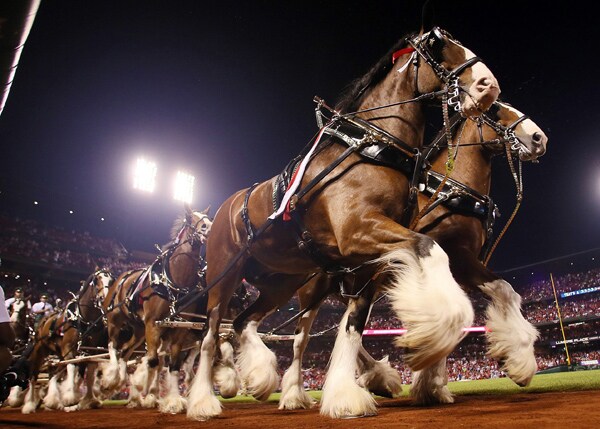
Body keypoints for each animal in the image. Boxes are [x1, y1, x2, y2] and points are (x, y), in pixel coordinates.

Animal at [186, 25, 502, 418]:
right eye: (438, 45)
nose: (489, 85)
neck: (372, 148)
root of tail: (221, 212)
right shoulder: (356, 232)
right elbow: (430, 247)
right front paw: (435, 330)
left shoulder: (370, 256)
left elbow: (354, 323)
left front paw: (351, 390)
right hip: (224, 278)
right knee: (211, 335)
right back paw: (204, 400)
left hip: (282, 282)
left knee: (245, 323)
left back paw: (261, 377)